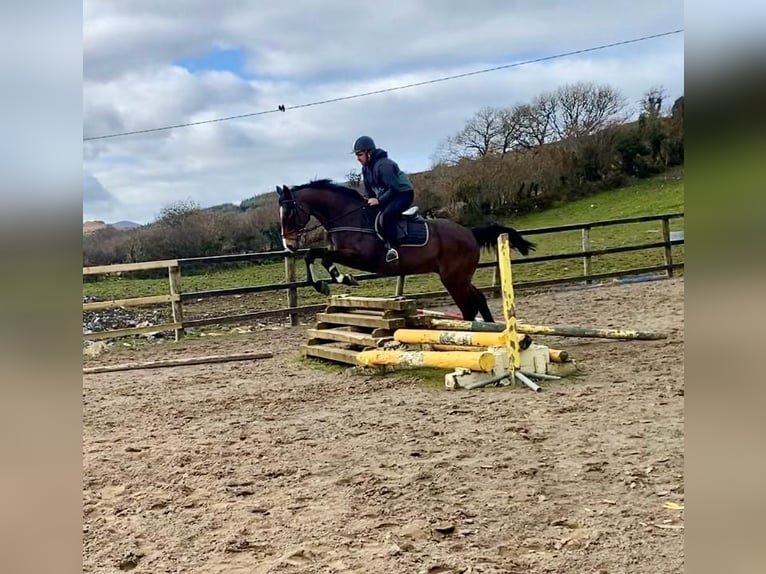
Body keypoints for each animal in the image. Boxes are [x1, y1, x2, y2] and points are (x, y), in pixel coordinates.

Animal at [276, 179, 535, 323]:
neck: (350, 217)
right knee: (478, 300)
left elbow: (318, 256)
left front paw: (339, 280)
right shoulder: (338, 251)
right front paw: (332, 281)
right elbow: (315, 255)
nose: (289, 246)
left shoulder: (360, 257)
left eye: (289, 213)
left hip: (454, 278)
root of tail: (470, 232)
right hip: (459, 277)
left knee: (469, 306)